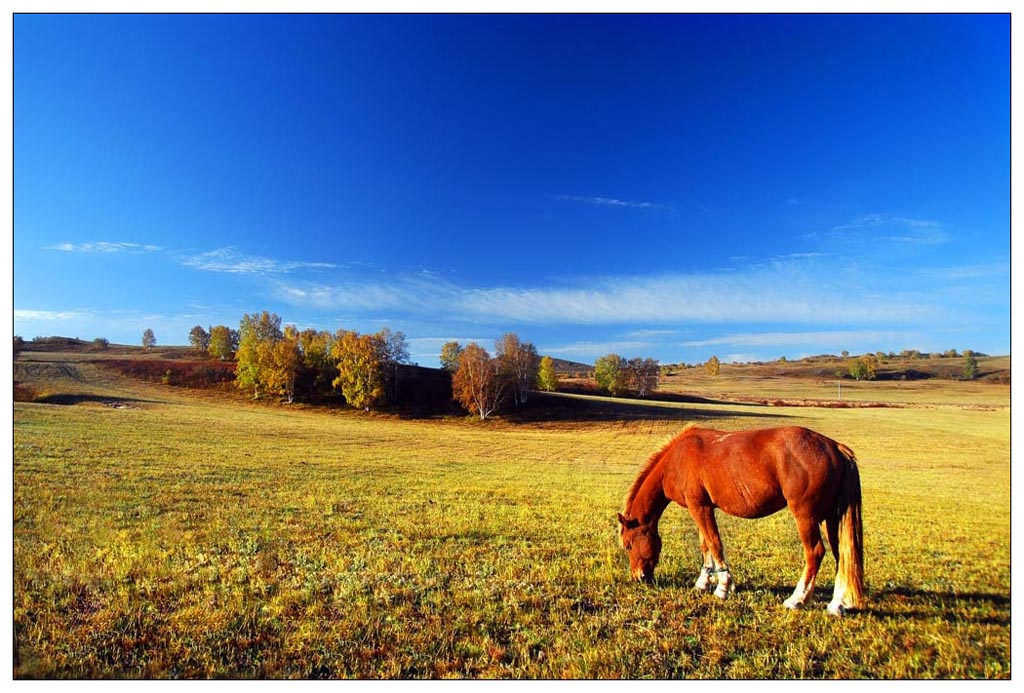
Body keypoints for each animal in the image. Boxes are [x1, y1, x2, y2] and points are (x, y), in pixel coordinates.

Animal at [614, 423, 864, 614]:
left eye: (628, 545)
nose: (638, 577)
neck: (676, 460)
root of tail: (835, 447)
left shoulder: (700, 507)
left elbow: (714, 544)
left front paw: (723, 587)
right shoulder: (701, 508)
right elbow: (705, 545)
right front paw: (703, 582)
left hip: (806, 517)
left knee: (815, 553)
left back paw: (797, 600)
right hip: (832, 517)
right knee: (842, 555)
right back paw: (837, 604)